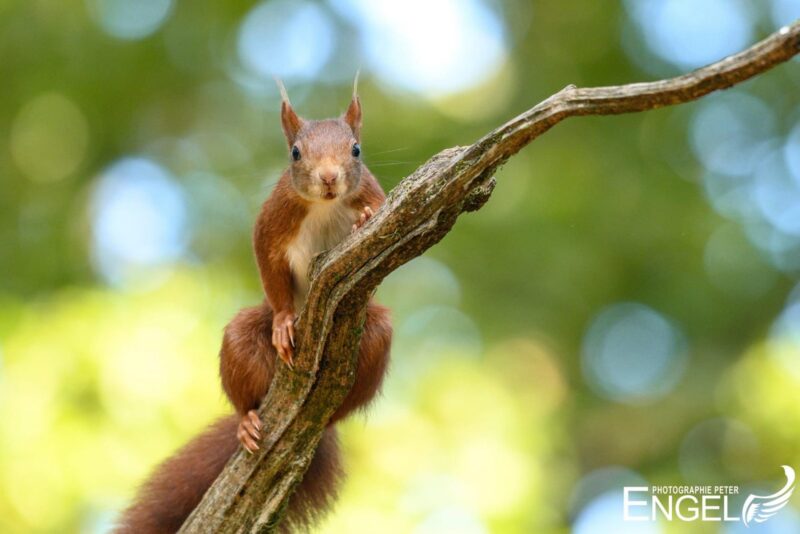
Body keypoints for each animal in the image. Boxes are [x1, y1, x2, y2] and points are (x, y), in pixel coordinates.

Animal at [115, 79, 393, 534]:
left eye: (356, 149)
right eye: (295, 153)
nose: (329, 178)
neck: (325, 206)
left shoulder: (375, 194)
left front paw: (366, 218)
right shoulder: (274, 220)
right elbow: (268, 266)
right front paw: (283, 323)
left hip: (373, 337)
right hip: (242, 343)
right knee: (245, 390)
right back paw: (247, 421)